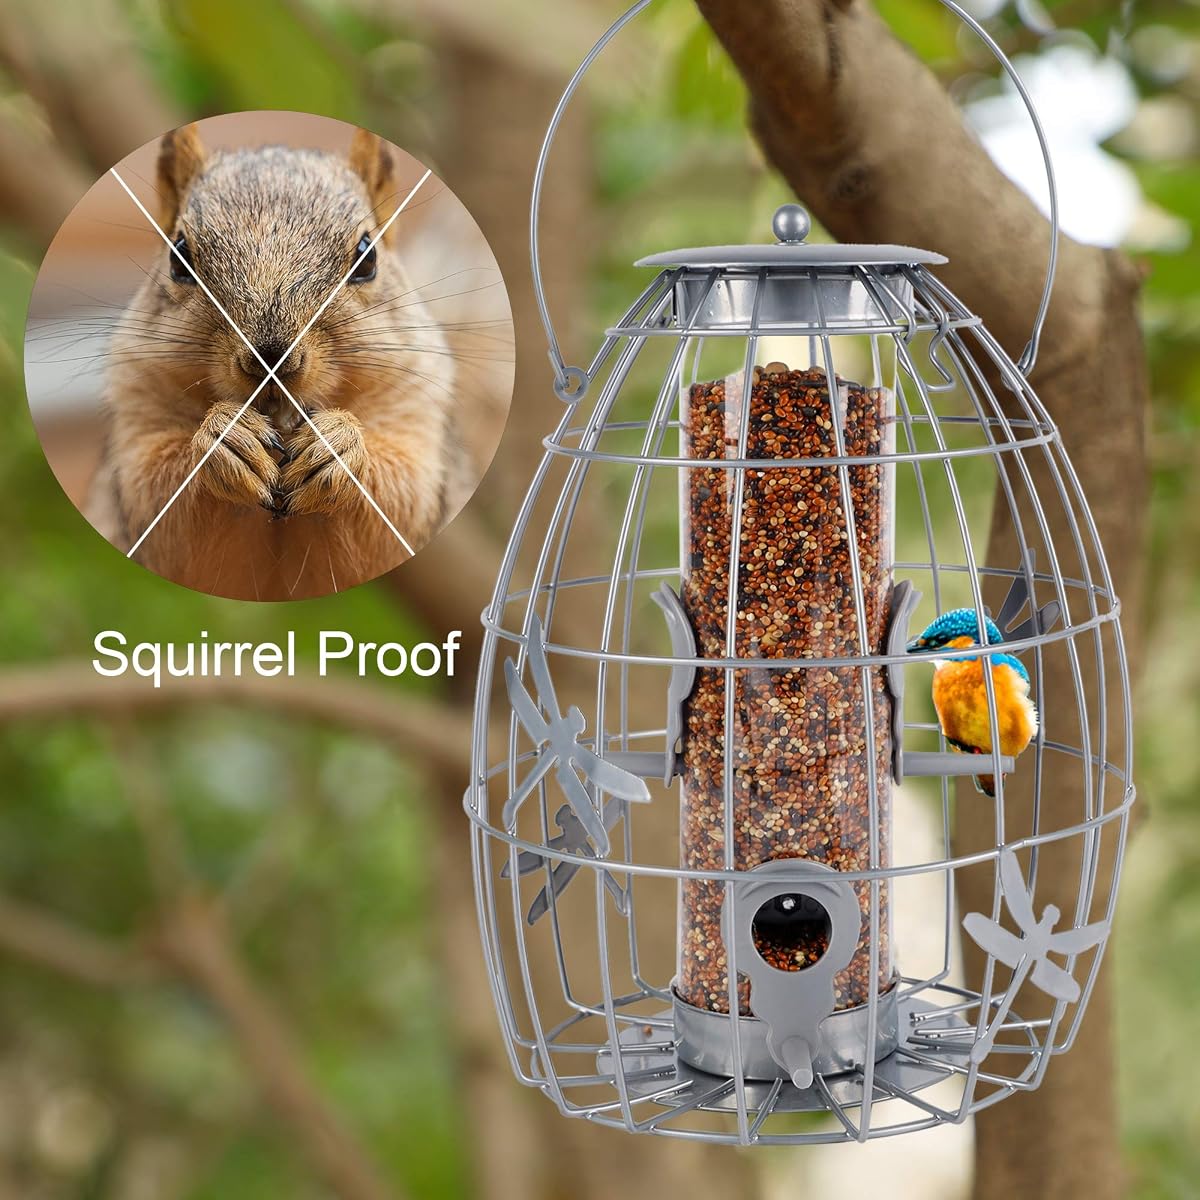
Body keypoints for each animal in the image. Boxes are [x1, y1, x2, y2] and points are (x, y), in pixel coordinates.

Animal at [89, 123, 457, 600]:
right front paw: (225, 439)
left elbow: (403, 500)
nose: (271, 360)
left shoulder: (416, 405)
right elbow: (153, 498)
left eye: (368, 257)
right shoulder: (137, 400)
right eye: (178, 256)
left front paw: (338, 446)